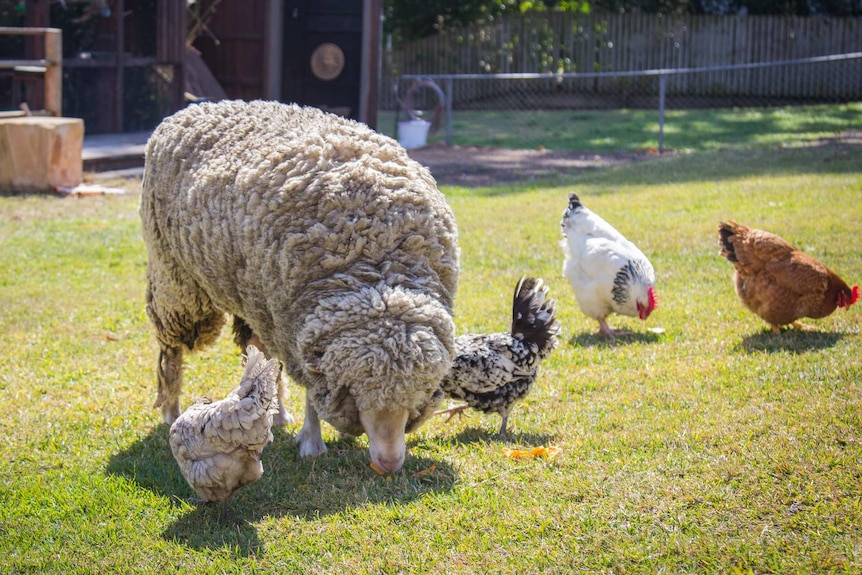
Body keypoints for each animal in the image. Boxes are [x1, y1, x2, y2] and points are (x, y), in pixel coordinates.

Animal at [142, 100, 462, 472]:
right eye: (357, 395)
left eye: (415, 398)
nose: (389, 464)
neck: (378, 270)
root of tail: (193, 109)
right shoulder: (297, 325)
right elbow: (311, 391)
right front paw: (312, 442)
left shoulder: (294, 322)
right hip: (176, 279)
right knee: (172, 349)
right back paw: (171, 408)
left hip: (256, 301)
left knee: (261, 354)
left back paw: (277, 413)